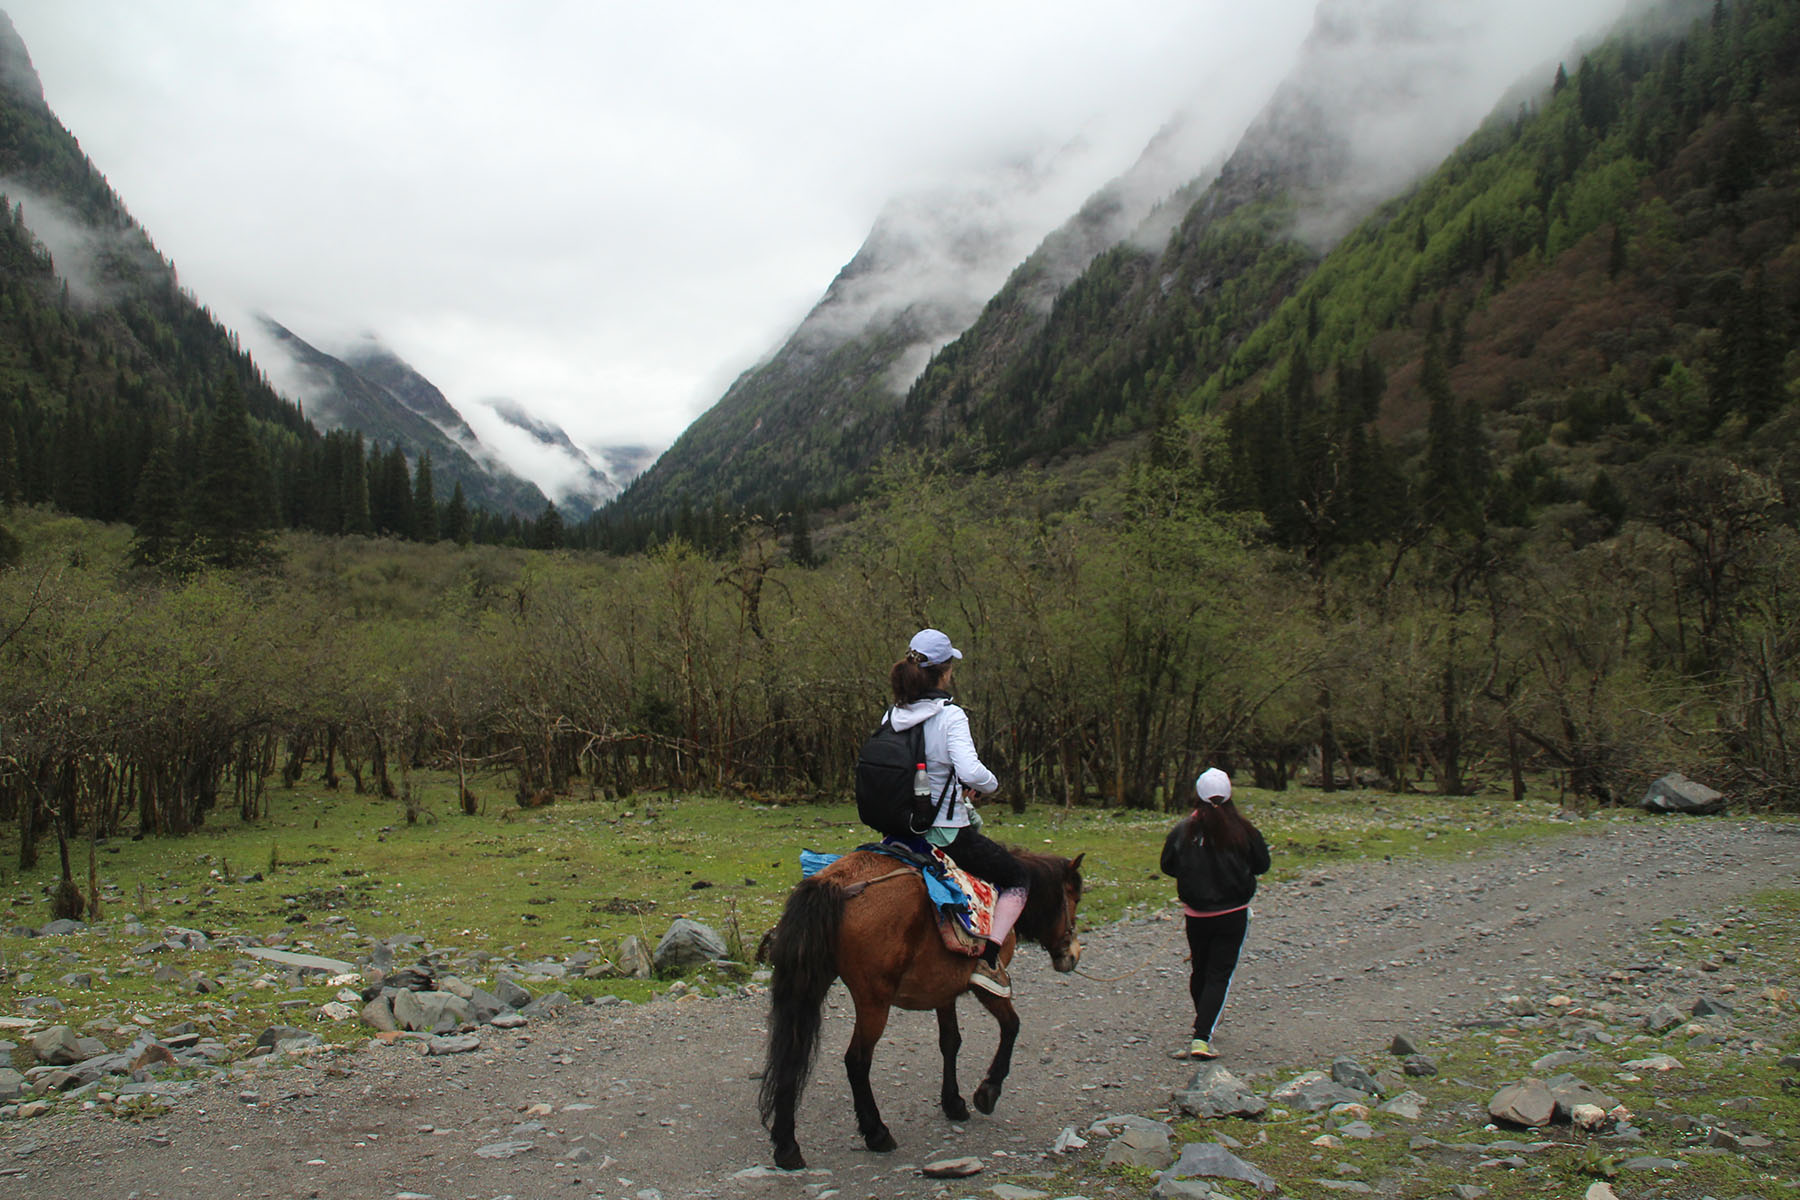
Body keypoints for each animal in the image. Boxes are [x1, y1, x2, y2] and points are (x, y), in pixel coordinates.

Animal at [756, 849, 1080, 1165]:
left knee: (791, 1053)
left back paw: (787, 1147)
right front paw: (987, 1092)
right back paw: (877, 1133)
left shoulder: (944, 988)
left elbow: (950, 1041)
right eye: (1074, 899)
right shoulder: (985, 987)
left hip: (812, 982)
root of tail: (834, 883)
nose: (1073, 955)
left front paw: (953, 1103)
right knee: (856, 1060)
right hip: (873, 1000)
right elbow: (1011, 1026)